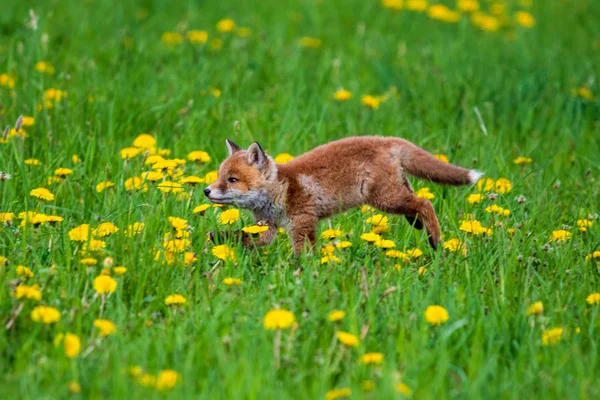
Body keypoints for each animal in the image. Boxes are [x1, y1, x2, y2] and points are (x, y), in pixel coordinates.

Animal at [205, 138, 482, 255]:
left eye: (232, 180)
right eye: (219, 176)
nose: (206, 191)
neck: (281, 188)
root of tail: (386, 139)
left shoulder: (302, 222)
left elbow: (302, 254)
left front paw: (301, 274)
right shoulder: (267, 228)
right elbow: (245, 237)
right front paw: (218, 237)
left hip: (384, 199)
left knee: (425, 202)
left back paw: (435, 239)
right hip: (393, 192)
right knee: (414, 201)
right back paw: (417, 224)